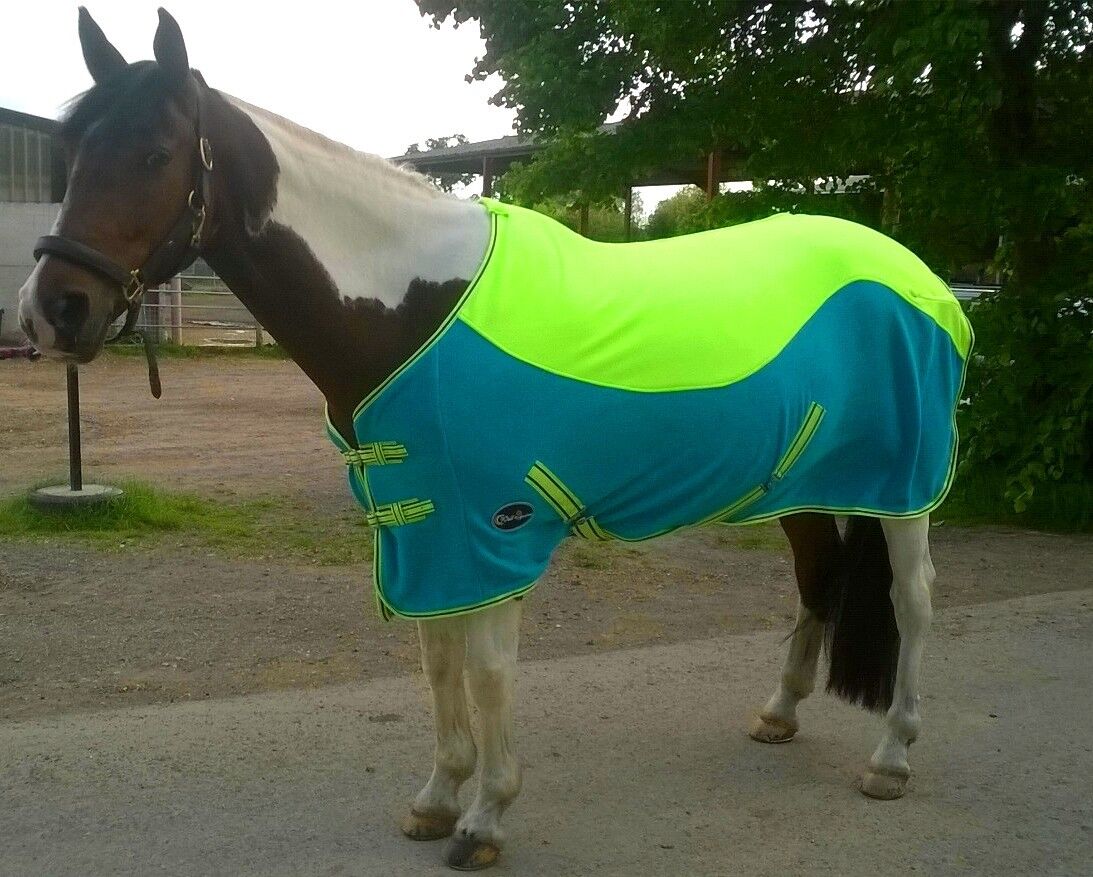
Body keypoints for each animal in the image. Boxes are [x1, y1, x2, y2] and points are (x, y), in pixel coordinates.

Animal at [19, 9, 970, 871]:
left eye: (154, 154)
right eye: (71, 155)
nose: (51, 310)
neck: (411, 306)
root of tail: (919, 276)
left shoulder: (491, 530)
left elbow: (484, 674)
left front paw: (484, 818)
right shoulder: (424, 525)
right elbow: (436, 663)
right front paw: (438, 799)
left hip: (902, 484)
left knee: (914, 597)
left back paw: (891, 755)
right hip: (799, 481)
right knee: (816, 576)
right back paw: (778, 712)